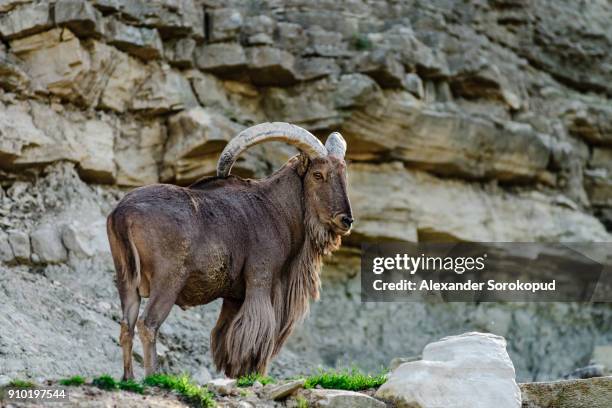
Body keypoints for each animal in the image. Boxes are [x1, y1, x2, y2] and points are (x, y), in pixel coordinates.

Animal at [107, 122, 352, 380]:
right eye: (318, 175)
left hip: (126, 280)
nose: (345, 220)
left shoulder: (233, 297)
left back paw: (128, 378)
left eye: (344, 175)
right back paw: (152, 377)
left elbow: (227, 336)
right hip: (167, 281)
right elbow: (255, 331)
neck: (276, 210)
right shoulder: (260, 281)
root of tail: (122, 214)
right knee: (148, 324)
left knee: (126, 325)